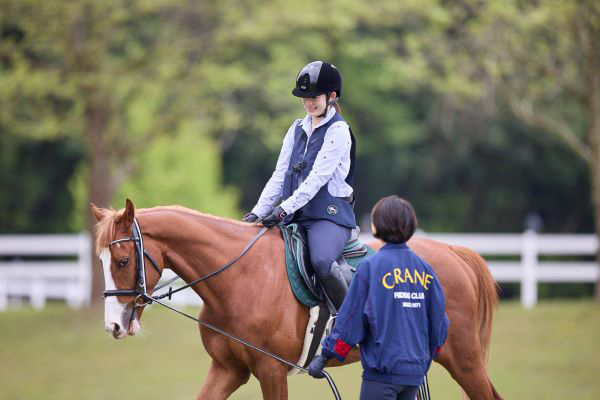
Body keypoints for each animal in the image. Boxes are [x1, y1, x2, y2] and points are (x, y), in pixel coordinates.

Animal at [90, 200, 502, 400]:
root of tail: (452, 252)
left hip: (463, 361)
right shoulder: (228, 369)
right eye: (102, 262)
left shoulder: (271, 371)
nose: (113, 325)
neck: (240, 277)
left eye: (123, 261)